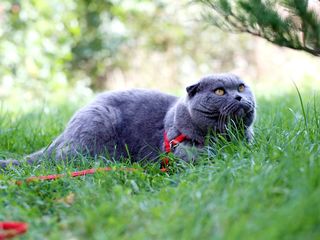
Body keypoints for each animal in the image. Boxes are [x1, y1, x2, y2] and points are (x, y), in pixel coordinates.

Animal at [0, 73, 255, 169]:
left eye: (241, 86)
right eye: (220, 91)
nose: (239, 96)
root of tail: (60, 137)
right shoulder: (179, 150)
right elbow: (204, 154)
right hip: (96, 123)